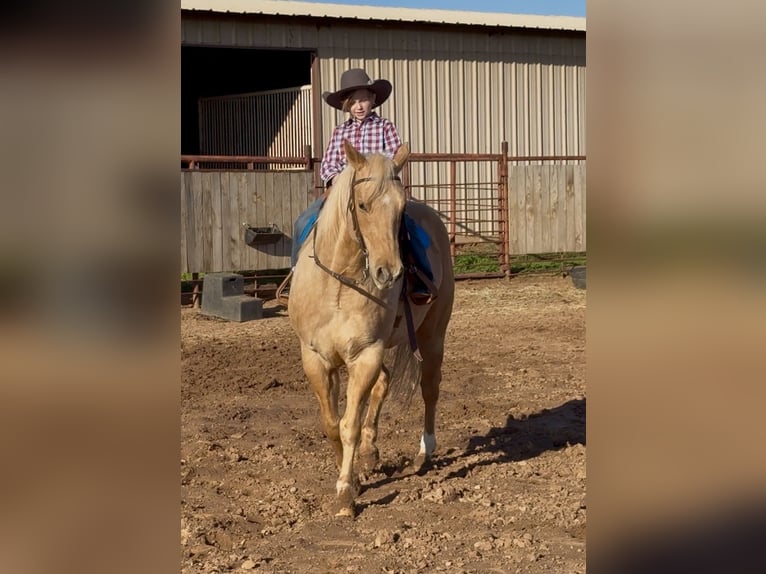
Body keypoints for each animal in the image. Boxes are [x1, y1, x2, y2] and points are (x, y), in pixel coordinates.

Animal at [287, 140, 455, 517]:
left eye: (401, 208)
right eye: (363, 205)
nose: (389, 273)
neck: (338, 283)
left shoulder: (366, 354)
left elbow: (348, 424)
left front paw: (345, 492)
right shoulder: (316, 359)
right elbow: (332, 424)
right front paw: (355, 475)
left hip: (433, 336)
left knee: (429, 390)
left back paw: (425, 452)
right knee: (384, 383)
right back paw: (370, 453)